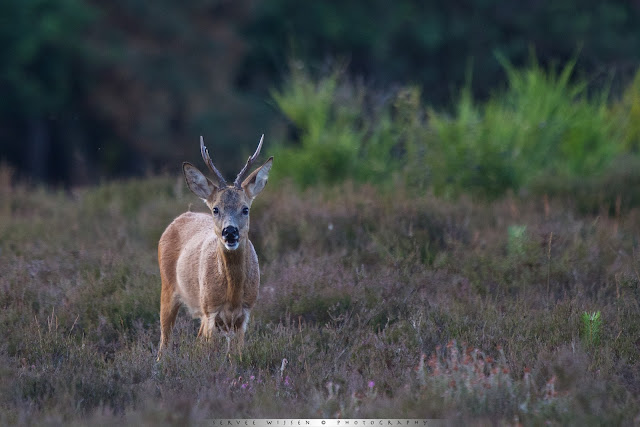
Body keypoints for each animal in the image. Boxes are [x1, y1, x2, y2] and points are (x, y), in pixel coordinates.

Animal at [157, 135, 272, 360]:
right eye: (216, 209)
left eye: (245, 209)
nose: (230, 232)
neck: (232, 295)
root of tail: (183, 215)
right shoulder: (210, 310)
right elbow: (207, 350)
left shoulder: (245, 313)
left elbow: (237, 353)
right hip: (168, 287)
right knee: (164, 341)